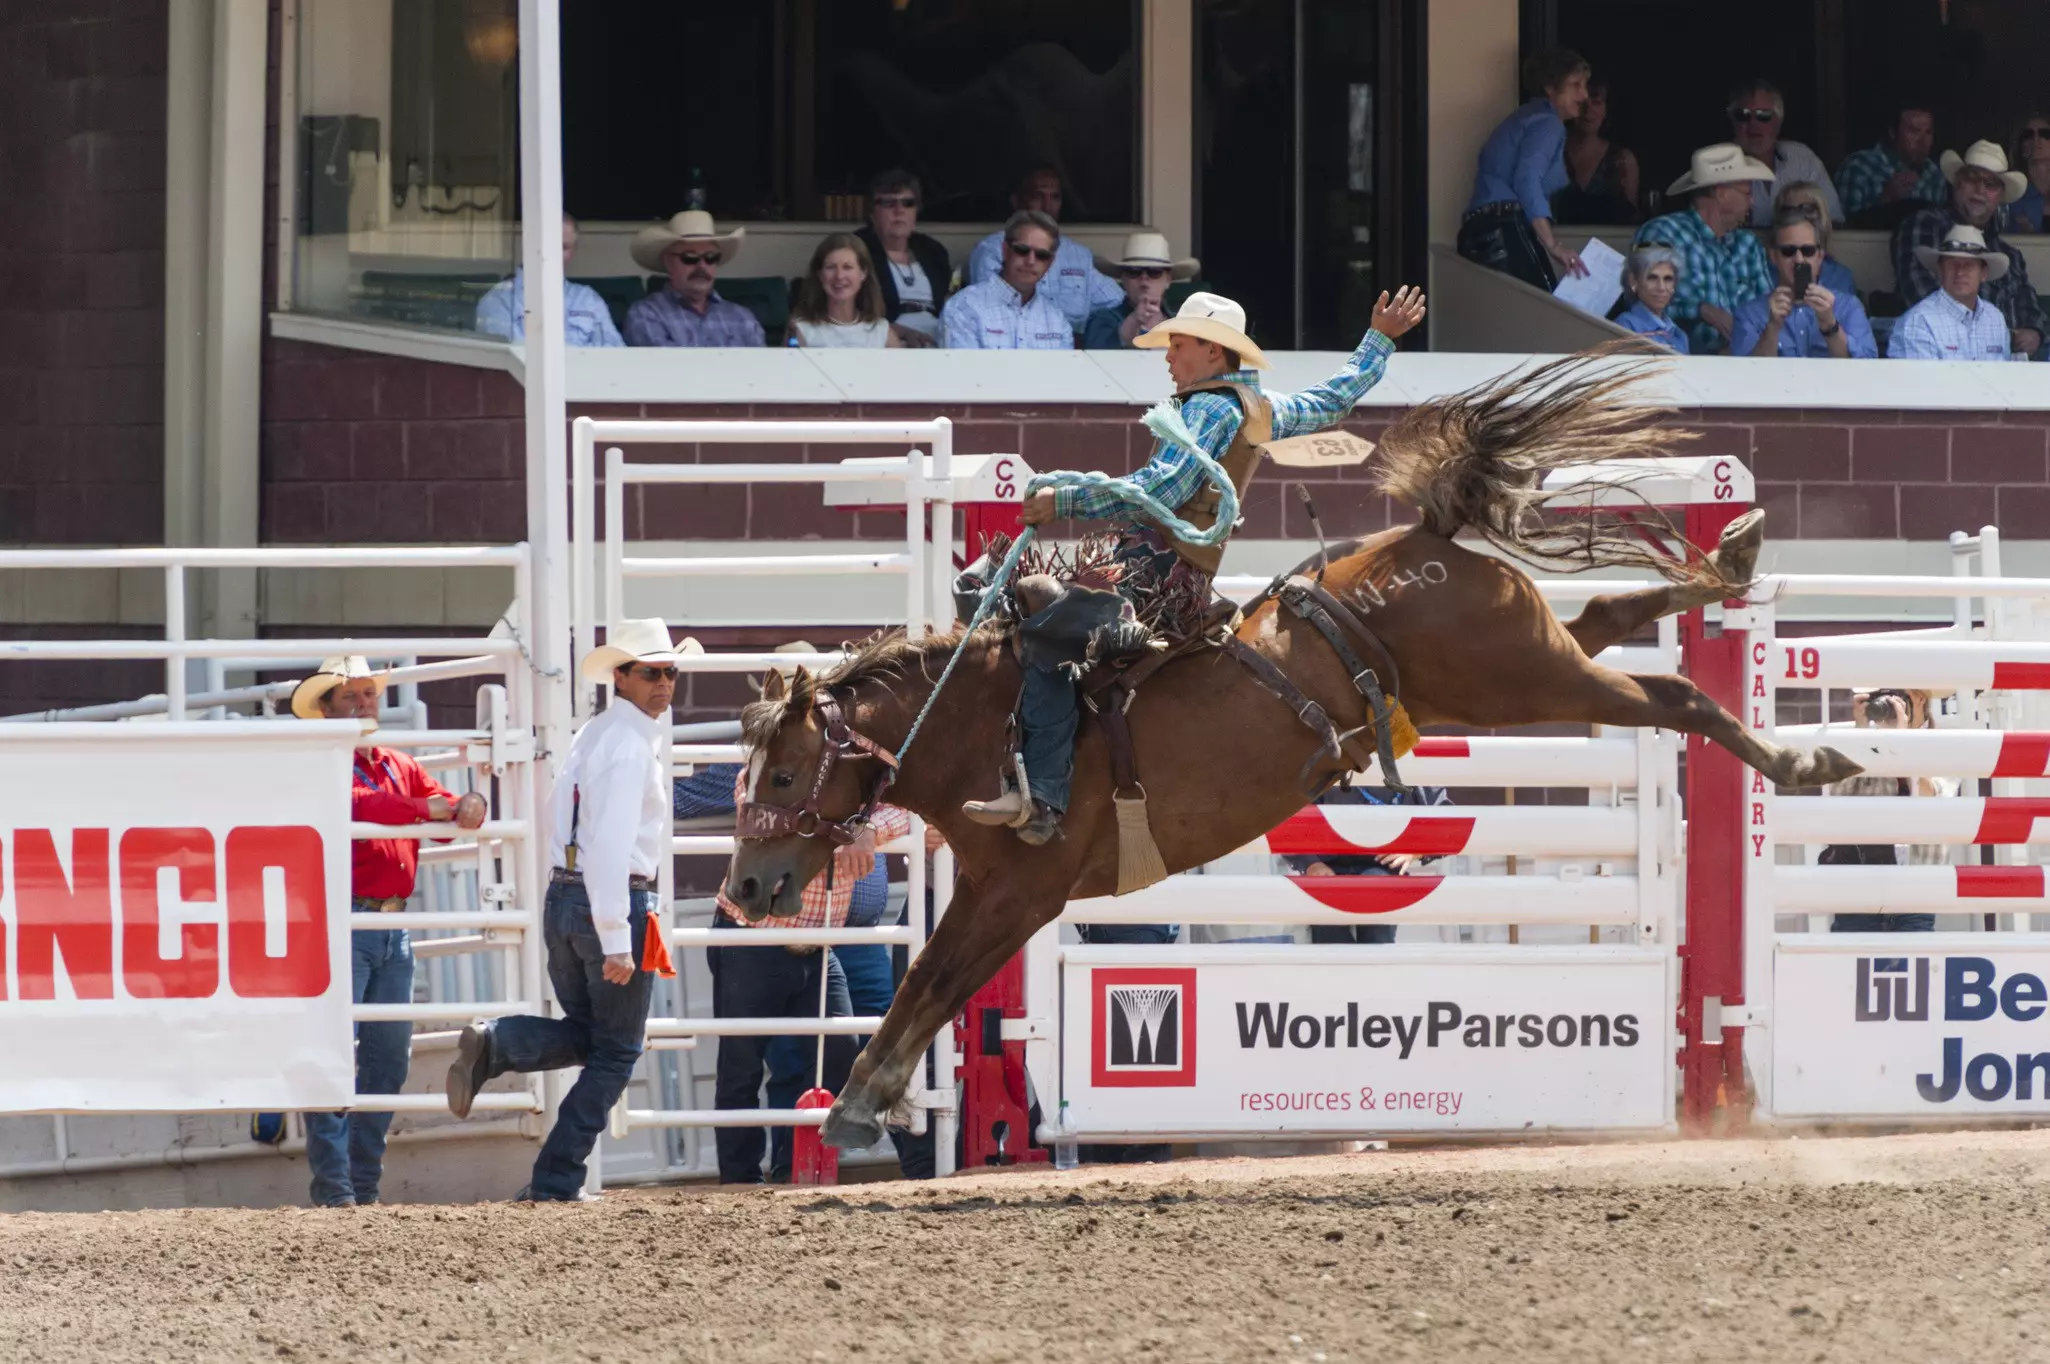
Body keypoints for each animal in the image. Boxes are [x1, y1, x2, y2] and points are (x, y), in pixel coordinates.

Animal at [722, 353, 1860, 1152]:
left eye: (778, 773)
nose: (743, 889)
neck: (983, 720)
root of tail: (1426, 538)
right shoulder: (997, 889)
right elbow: (933, 984)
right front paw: (863, 1103)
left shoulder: (1020, 888)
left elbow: (933, 980)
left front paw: (855, 1106)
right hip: (1517, 664)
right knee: (1609, 615)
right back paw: (1733, 559)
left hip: (1528, 678)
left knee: (1673, 694)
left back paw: (1806, 759)